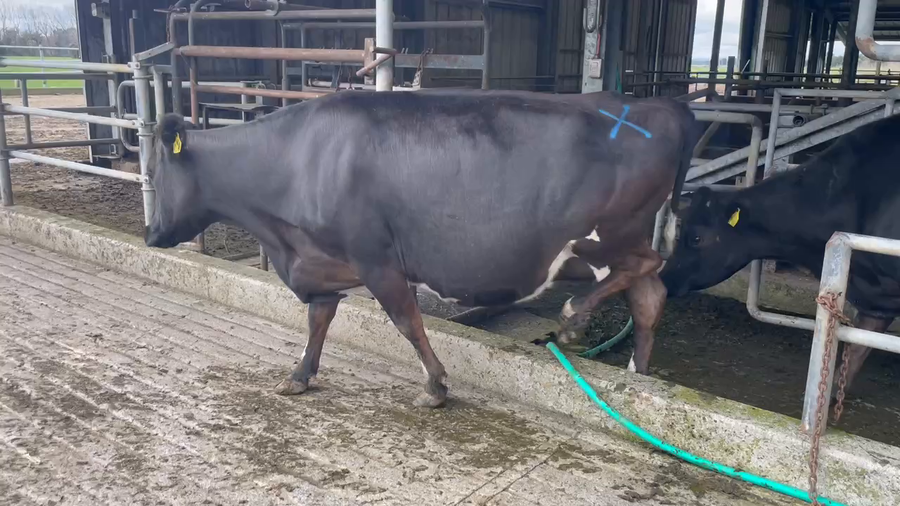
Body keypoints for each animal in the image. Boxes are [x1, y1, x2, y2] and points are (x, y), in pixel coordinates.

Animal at [144, 89, 699, 407]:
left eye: (153, 171)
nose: (150, 236)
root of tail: (660, 106)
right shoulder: (320, 260)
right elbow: (317, 322)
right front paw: (298, 377)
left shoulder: (377, 258)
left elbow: (407, 323)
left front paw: (435, 387)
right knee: (649, 297)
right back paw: (638, 374)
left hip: (613, 232)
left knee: (648, 267)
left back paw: (574, 315)